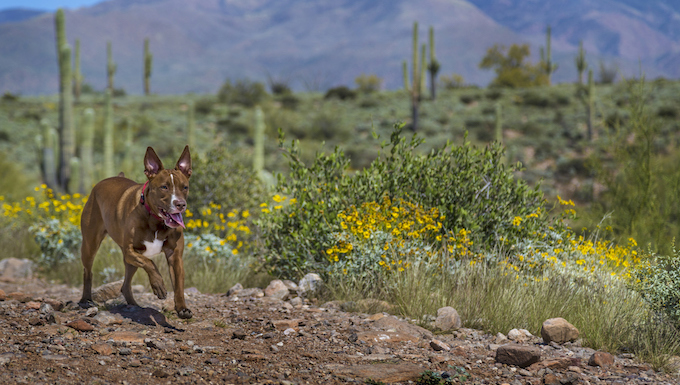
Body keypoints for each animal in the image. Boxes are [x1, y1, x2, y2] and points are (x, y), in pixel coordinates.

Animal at [79, 145, 194, 318]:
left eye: (184, 187)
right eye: (164, 187)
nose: (180, 204)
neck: (156, 220)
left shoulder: (174, 256)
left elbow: (179, 285)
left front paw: (182, 309)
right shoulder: (131, 251)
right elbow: (150, 263)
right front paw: (159, 285)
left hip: (129, 261)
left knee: (125, 285)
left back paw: (134, 305)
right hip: (90, 244)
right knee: (88, 272)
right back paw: (86, 300)